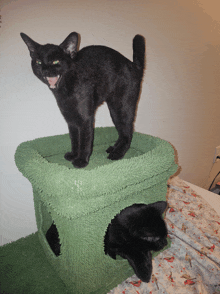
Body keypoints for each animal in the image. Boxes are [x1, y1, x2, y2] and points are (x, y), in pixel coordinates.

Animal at [20, 31, 144, 168]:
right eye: (38, 62)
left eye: (56, 61)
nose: (44, 70)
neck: (65, 90)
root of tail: (133, 65)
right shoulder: (70, 119)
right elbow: (74, 139)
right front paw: (74, 154)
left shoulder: (85, 119)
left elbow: (85, 141)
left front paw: (81, 161)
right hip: (114, 109)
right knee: (122, 133)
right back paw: (113, 148)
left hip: (121, 107)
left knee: (128, 133)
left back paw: (117, 154)